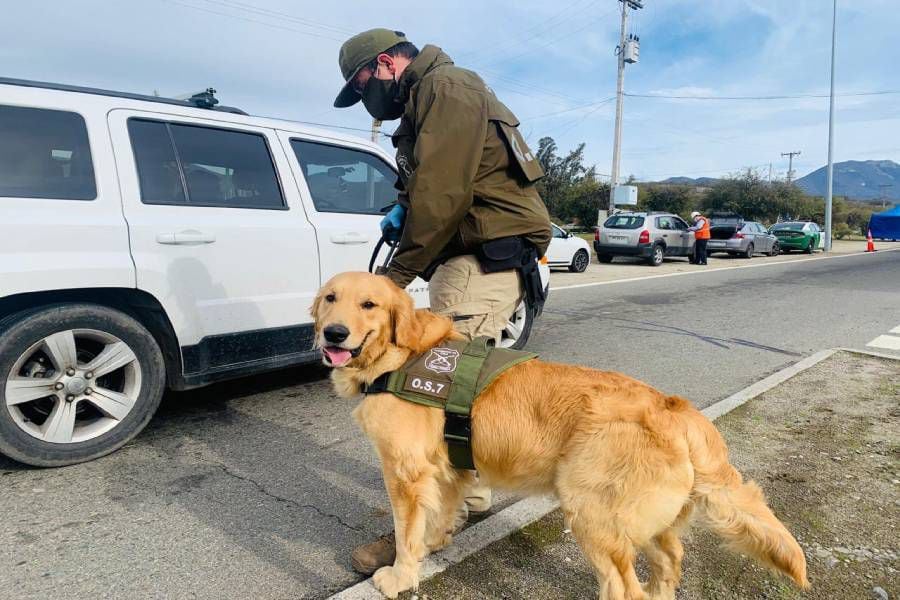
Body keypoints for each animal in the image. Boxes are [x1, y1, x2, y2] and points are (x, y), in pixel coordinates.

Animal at [312, 274, 812, 600]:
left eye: (369, 305)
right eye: (330, 298)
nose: (332, 333)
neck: (399, 357)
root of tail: (674, 408)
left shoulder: (406, 474)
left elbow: (405, 532)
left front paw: (399, 575)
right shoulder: (450, 467)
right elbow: (438, 517)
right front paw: (435, 544)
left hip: (591, 514)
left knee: (624, 588)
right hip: (647, 519)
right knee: (670, 560)